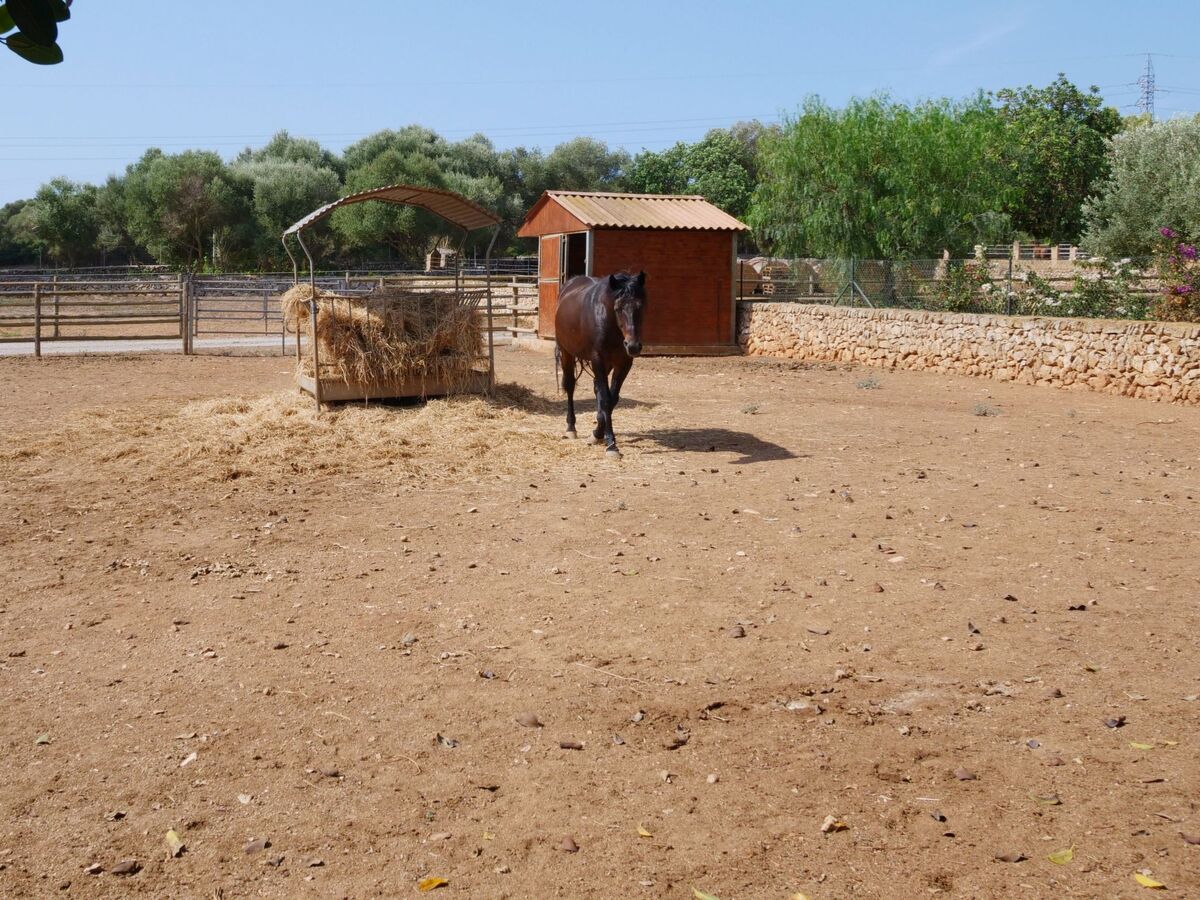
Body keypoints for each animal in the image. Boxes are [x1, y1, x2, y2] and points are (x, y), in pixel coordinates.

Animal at [554, 271, 647, 458]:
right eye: (618, 308)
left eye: (640, 307)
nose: (633, 346)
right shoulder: (598, 360)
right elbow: (605, 400)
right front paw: (611, 445)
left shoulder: (623, 363)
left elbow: (611, 400)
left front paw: (598, 434)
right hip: (567, 352)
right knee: (570, 386)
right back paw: (571, 428)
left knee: (597, 388)